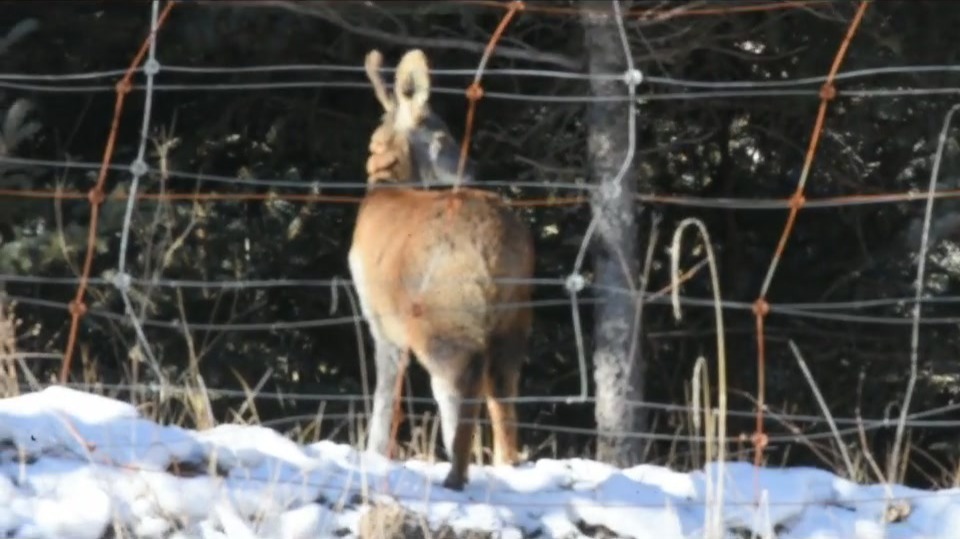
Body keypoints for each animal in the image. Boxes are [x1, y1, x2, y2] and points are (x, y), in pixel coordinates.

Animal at [348, 48, 536, 492]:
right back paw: (505, 465)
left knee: (457, 386)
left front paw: (375, 453)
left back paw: (455, 475)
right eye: (443, 136)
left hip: (443, 314)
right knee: (501, 385)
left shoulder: (380, 320)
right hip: (515, 314)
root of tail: (496, 248)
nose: (473, 169)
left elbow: (385, 394)